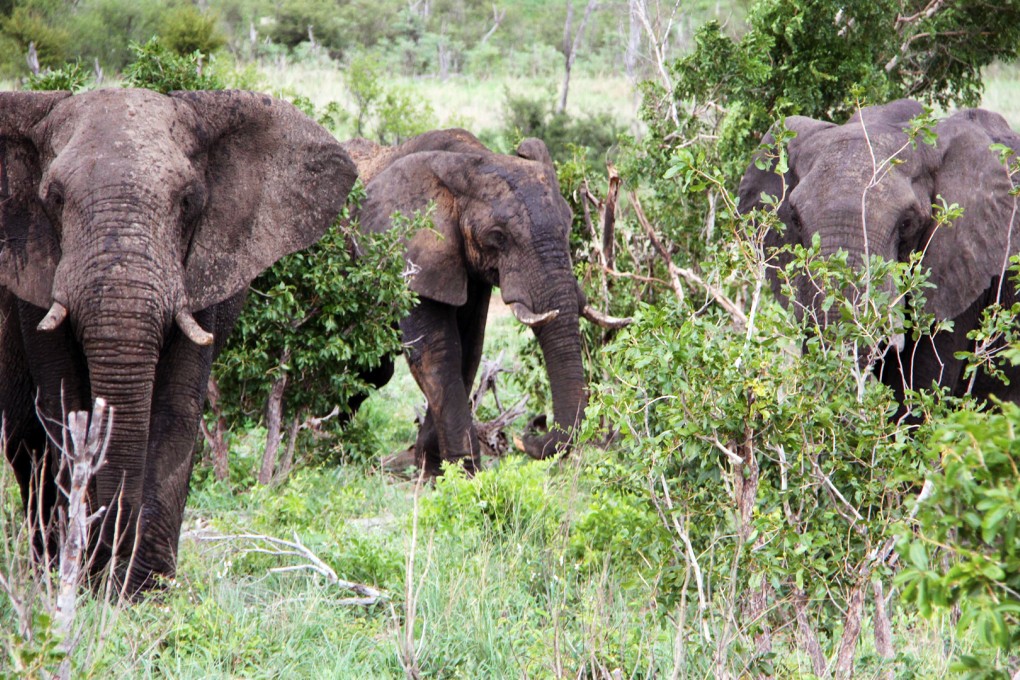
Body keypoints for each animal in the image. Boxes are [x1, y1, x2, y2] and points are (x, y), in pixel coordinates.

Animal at [0, 88, 356, 594]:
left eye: (189, 201)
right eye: (54, 197)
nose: (108, 565)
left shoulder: (203, 275)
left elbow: (174, 408)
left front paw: (143, 590)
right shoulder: (37, 277)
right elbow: (62, 402)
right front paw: (87, 583)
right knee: (26, 444)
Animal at [342, 129, 628, 476]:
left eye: (570, 225)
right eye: (498, 236)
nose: (532, 429)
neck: (468, 158)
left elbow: (469, 349)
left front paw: (436, 471)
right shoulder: (408, 251)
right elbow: (439, 352)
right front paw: (463, 474)